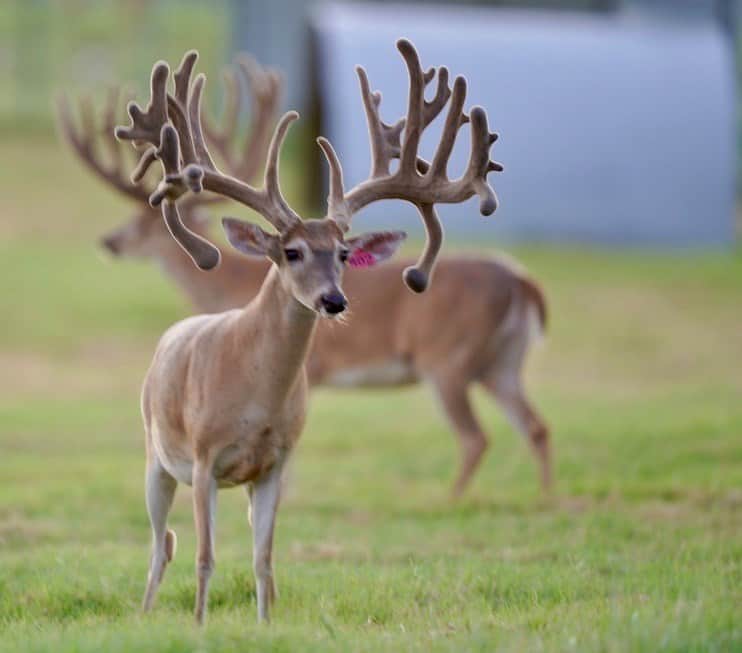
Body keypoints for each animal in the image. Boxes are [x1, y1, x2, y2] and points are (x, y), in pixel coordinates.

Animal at [62, 58, 550, 499]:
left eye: (146, 222)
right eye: (292, 251)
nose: (110, 241)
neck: (230, 291)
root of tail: (524, 281)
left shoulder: (313, 371)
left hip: (447, 359)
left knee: (475, 437)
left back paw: (449, 499)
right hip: (501, 363)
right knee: (536, 426)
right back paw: (547, 498)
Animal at [113, 41, 503, 624]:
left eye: (342, 253)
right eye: (291, 251)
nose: (333, 300)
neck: (254, 397)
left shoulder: (274, 462)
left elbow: (264, 559)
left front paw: (265, 624)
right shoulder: (204, 459)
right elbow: (205, 557)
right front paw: (201, 624)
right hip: (155, 457)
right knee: (162, 546)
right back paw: (144, 613)